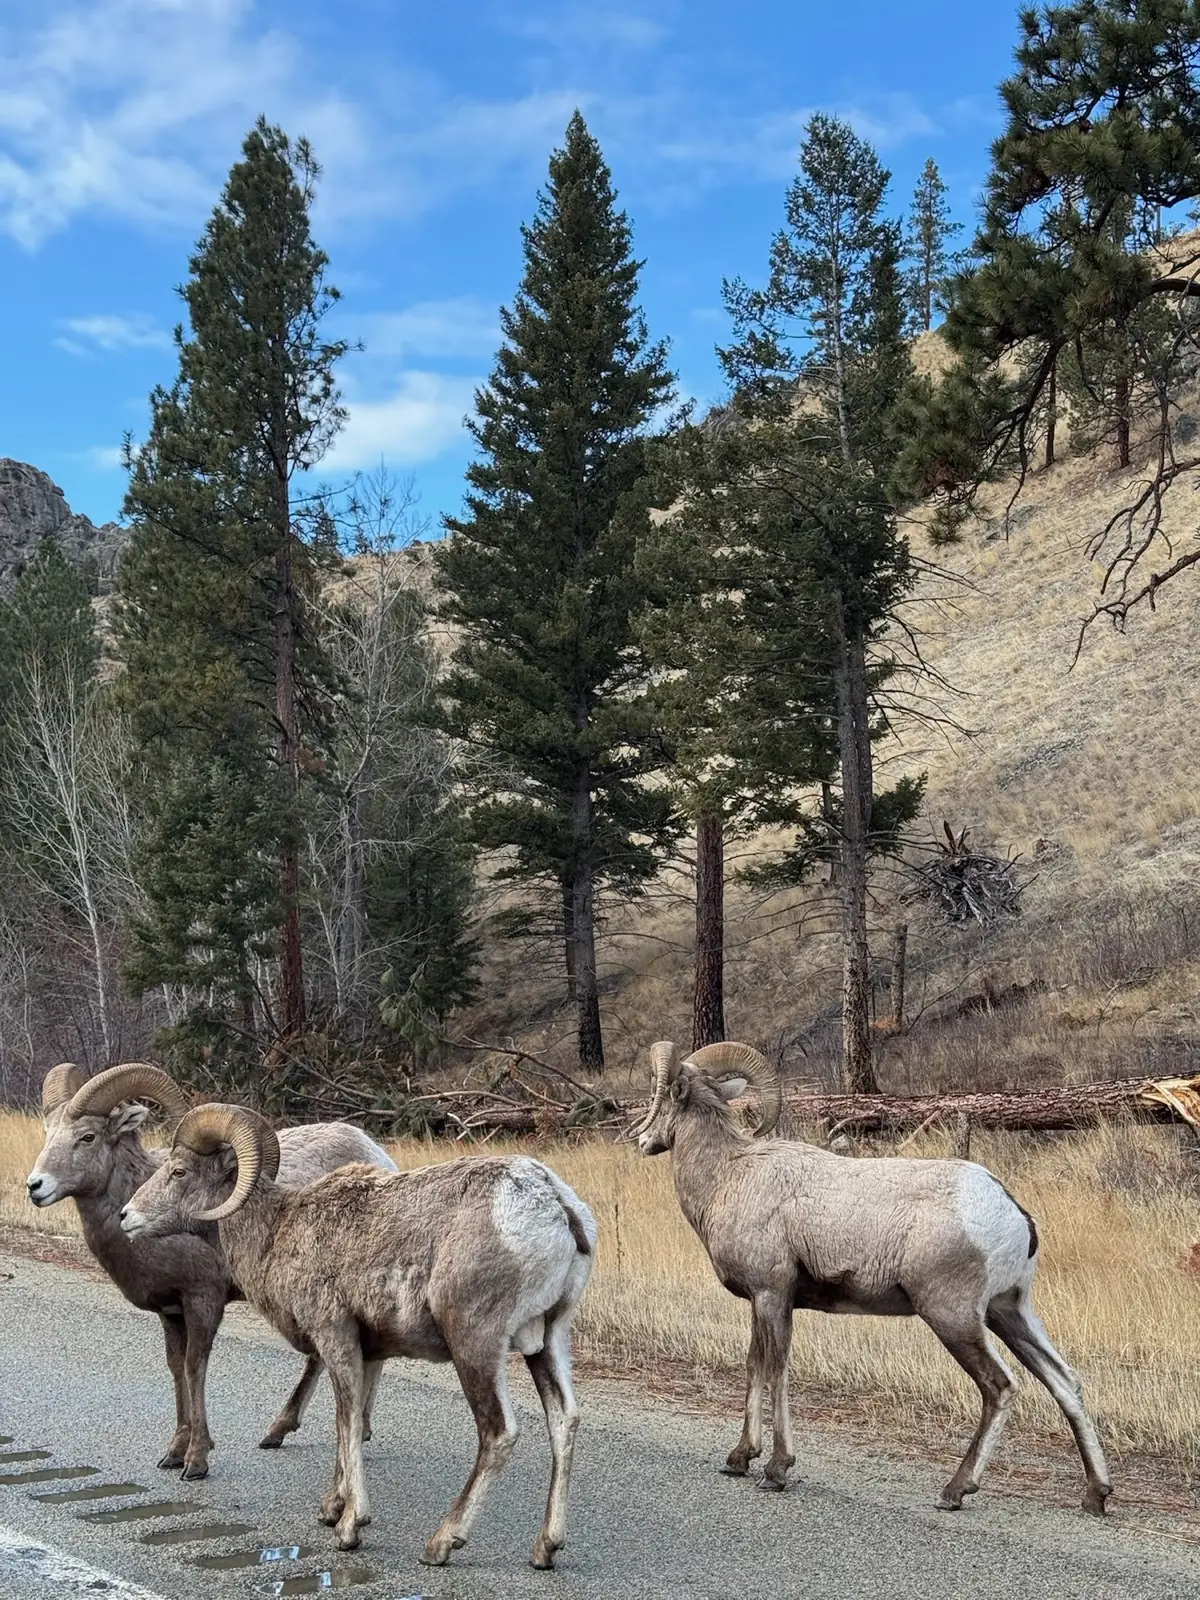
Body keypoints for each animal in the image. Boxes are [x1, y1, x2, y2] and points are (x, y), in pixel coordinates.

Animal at [27, 1061, 398, 1479]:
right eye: (48, 1133)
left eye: (87, 1136)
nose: (35, 1186)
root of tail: (378, 1156)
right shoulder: (171, 1312)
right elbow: (176, 1369)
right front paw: (174, 1452)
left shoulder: (203, 1300)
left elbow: (195, 1368)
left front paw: (196, 1460)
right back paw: (286, 1432)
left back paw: (339, 1430)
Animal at [120, 1102, 596, 1568]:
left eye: (179, 1171)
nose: (126, 1217)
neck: (277, 1232)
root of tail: (556, 1206)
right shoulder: (366, 1352)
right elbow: (345, 1424)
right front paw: (331, 1509)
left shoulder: (336, 1338)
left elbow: (347, 1422)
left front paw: (350, 1526)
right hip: (548, 1341)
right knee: (564, 1420)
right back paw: (545, 1548)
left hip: (475, 1344)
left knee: (498, 1433)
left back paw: (440, 1543)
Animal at [635, 1039, 1112, 1516]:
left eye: (661, 1097)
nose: (641, 1140)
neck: (727, 1178)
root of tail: (1012, 1211)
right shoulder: (761, 1300)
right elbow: (754, 1366)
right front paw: (738, 1459)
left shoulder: (772, 1295)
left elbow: (776, 1370)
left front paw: (776, 1470)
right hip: (1009, 1312)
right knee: (1065, 1382)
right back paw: (1096, 1494)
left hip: (953, 1317)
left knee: (1001, 1387)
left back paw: (955, 1491)